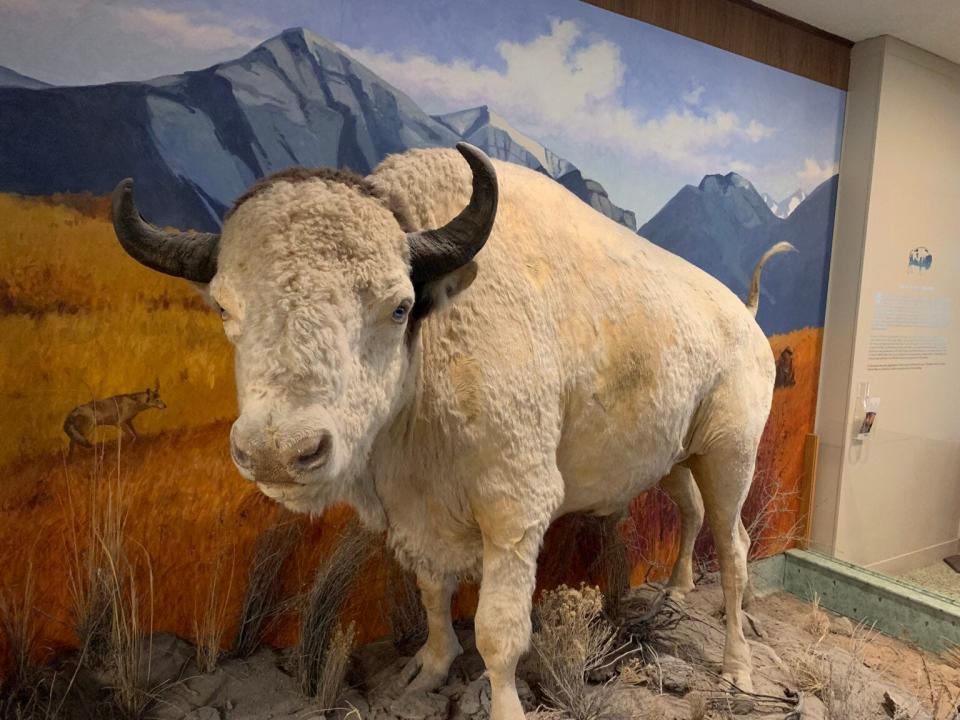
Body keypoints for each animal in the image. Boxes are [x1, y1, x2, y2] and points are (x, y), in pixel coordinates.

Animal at [112, 143, 792, 716]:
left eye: (398, 306)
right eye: (225, 306)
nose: (280, 453)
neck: (433, 344)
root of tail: (748, 318)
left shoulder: (515, 509)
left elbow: (498, 632)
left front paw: (505, 706)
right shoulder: (416, 512)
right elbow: (432, 594)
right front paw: (428, 669)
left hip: (730, 457)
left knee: (733, 546)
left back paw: (737, 666)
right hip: (677, 459)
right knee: (693, 513)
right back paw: (676, 594)